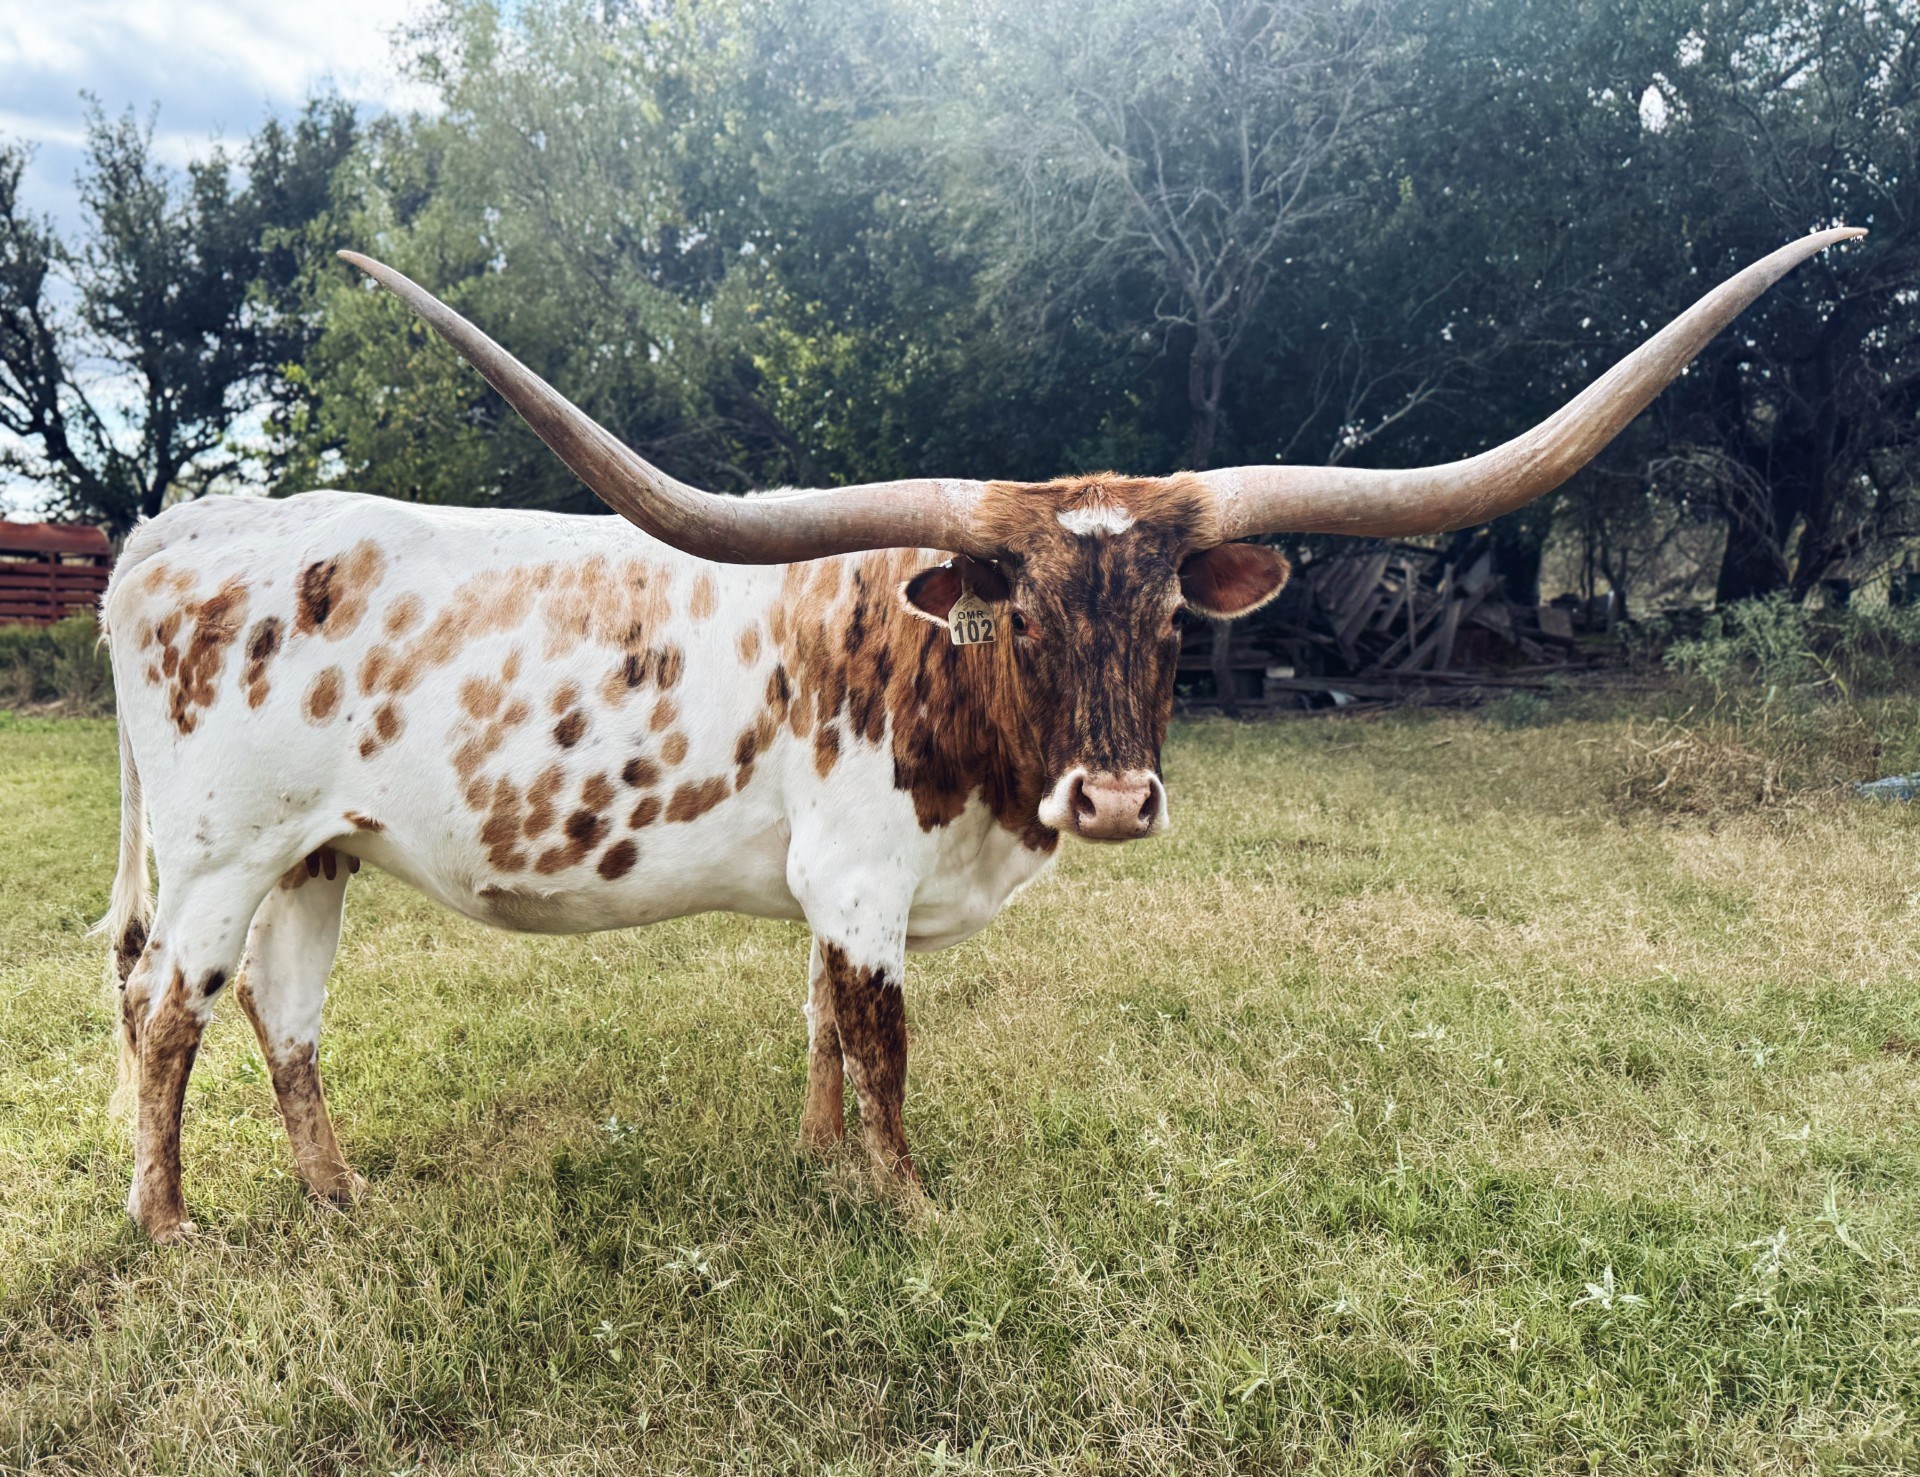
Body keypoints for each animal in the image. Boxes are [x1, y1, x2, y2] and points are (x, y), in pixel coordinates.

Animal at [97, 227, 1859, 1241]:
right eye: (1014, 611)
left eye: (1168, 619)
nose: (1119, 797)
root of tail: (169, 534)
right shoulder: (866, 883)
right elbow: (879, 1044)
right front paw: (908, 1205)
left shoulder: (827, 893)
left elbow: (817, 1027)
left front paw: (825, 1177)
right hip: (218, 856)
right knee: (166, 1013)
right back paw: (170, 1230)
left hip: (317, 856)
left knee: (285, 1019)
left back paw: (340, 1197)